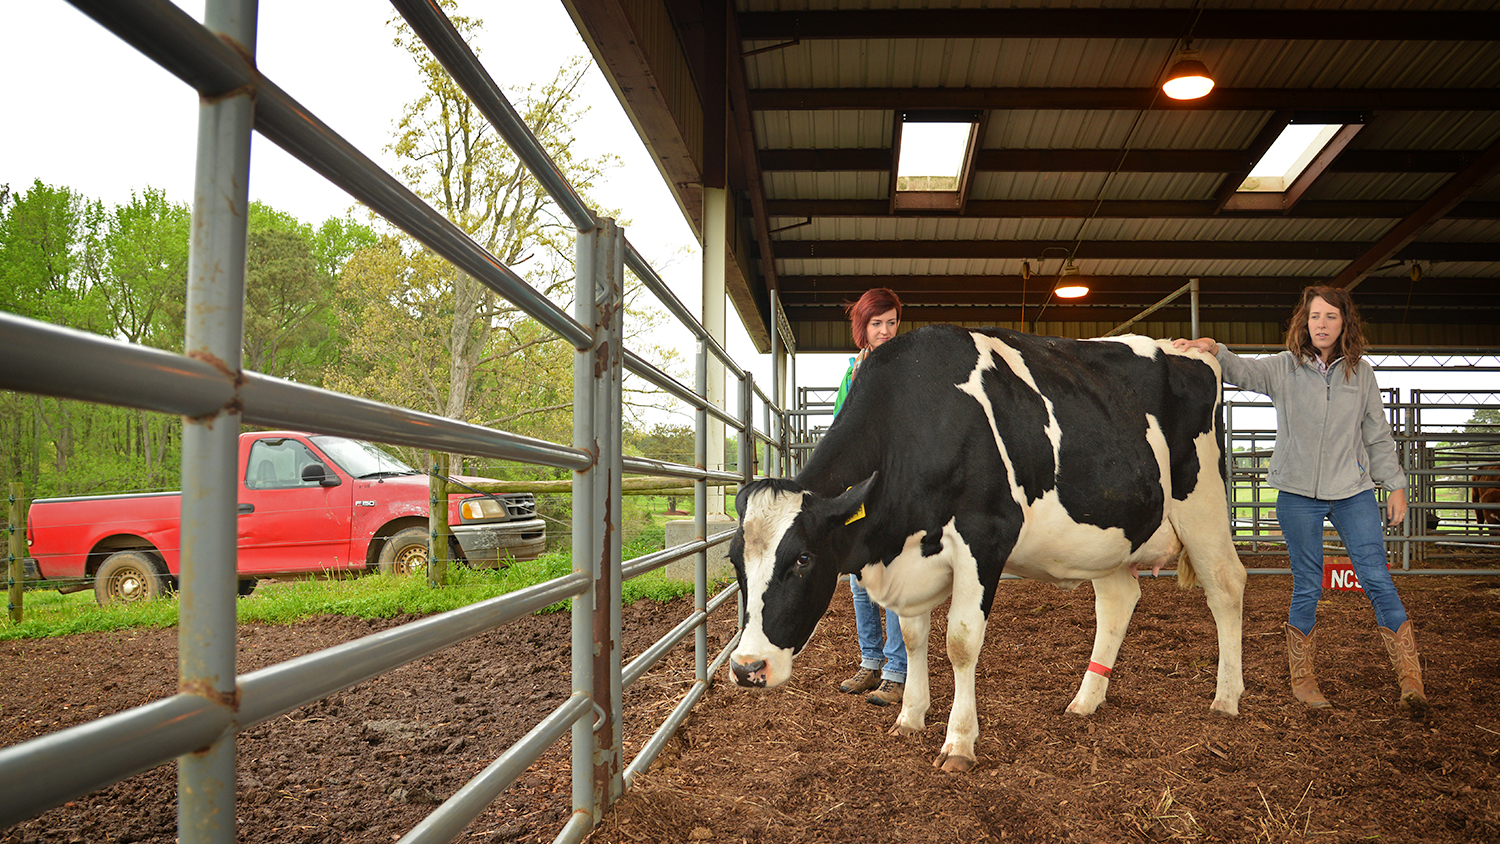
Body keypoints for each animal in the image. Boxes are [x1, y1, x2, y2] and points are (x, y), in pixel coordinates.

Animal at [726, 323, 1242, 773]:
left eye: (803, 558)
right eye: (734, 561)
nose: (747, 667)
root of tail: (1192, 354)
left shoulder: (984, 538)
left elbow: (960, 641)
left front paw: (958, 743)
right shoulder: (911, 556)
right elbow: (913, 636)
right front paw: (909, 718)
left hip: (1204, 507)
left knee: (1226, 586)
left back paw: (1226, 697)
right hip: (1109, 532)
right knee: (1118, 602)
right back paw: (1086, 700)